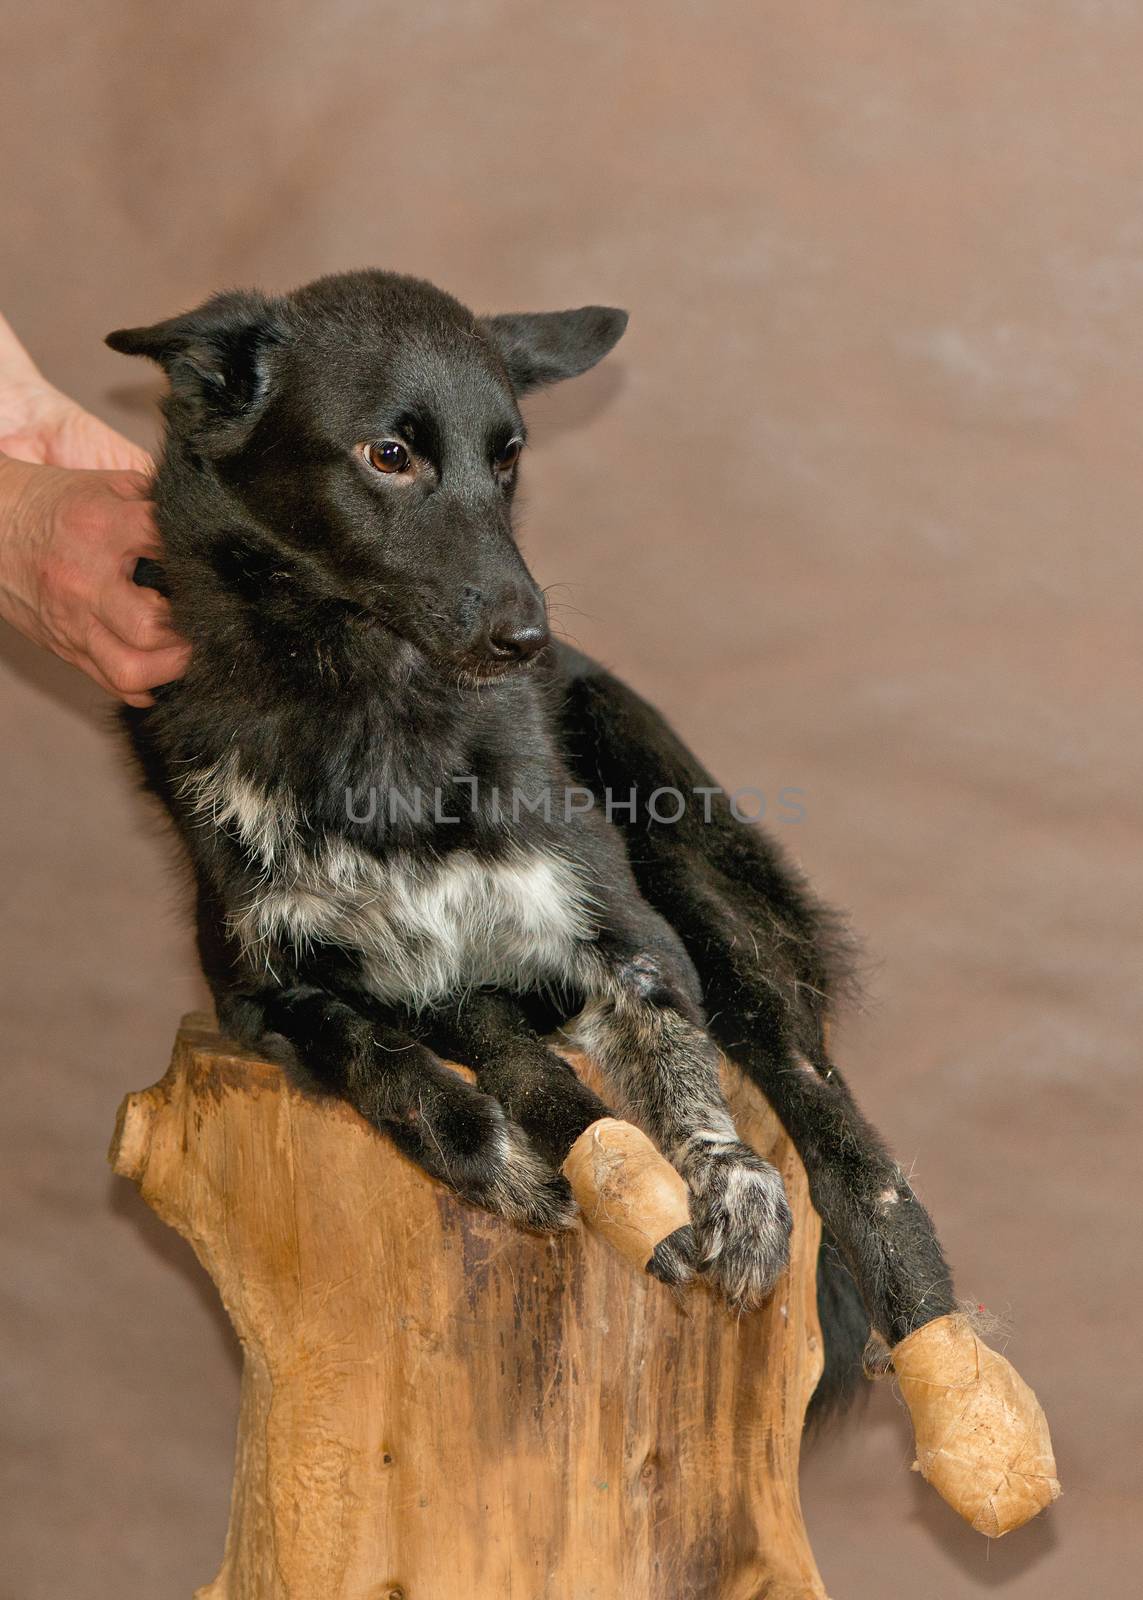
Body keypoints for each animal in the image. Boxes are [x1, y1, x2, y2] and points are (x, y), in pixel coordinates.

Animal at [113, 275, 954, 1414]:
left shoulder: (626, 933)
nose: (529, 640)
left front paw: (730, 1183)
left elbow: (679, 1058)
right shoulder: (257, 992)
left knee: (822, 1103)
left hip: (687, 860)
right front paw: (498, 1153)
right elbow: (373, 1051)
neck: (377, 714)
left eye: (507, 455)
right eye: (390, 453)